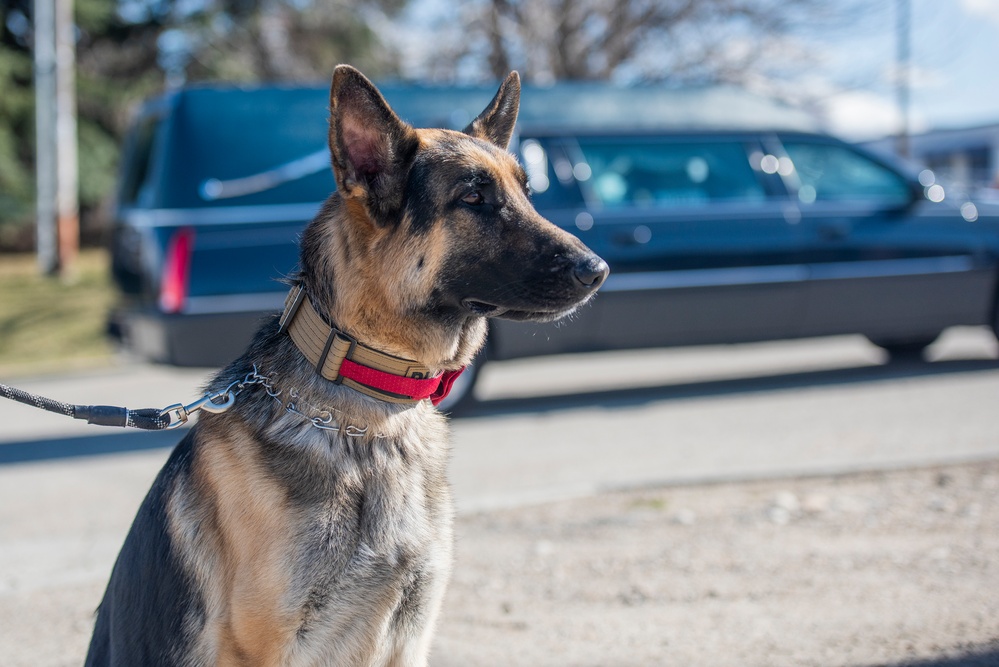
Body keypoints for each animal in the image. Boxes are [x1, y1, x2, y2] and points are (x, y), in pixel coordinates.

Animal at [84, 66, 608, 667]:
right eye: (474, 197)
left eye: (527, 193)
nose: (599, 269)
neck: (371, 419)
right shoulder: (264, 647)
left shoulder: (411, 638)